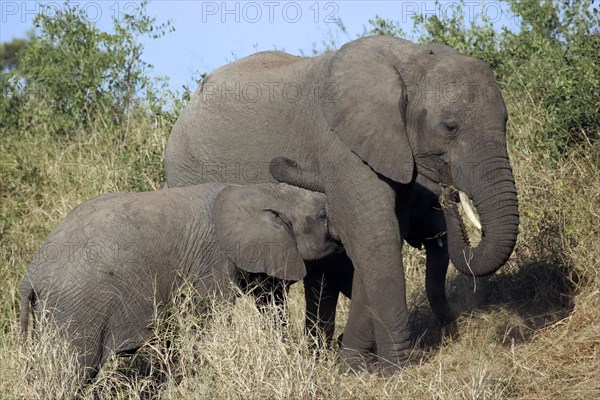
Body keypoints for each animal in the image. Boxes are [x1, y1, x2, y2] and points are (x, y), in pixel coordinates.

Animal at [21, 183, 340, 380]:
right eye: (324, 216)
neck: (256, 190)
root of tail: (30, 274)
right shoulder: (213, 259)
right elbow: (211, 320)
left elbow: (270, 299)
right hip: (76, 307)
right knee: (70, 372)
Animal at [165, 36, 520, 368]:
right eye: (450, 127)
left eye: (505, 121)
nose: (450, 192)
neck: (410, 60)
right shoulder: (339, 144)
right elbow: (372, 236)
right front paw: (393, 369)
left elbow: (375, 238)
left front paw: (354, 363)